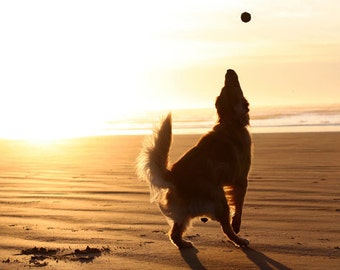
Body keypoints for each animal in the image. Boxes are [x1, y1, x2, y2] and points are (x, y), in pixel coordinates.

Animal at [137, 69, 251, 249]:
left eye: (224, 88)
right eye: (235, 87)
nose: (229, 71)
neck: (230, 123)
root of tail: (173, 176)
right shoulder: (241, 180)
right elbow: (239, 206)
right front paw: (237, 223)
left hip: (186, 212)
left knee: (174, 234)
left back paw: (184, 244)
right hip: (219, 199)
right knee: (226, 228)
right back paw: (239, 240)